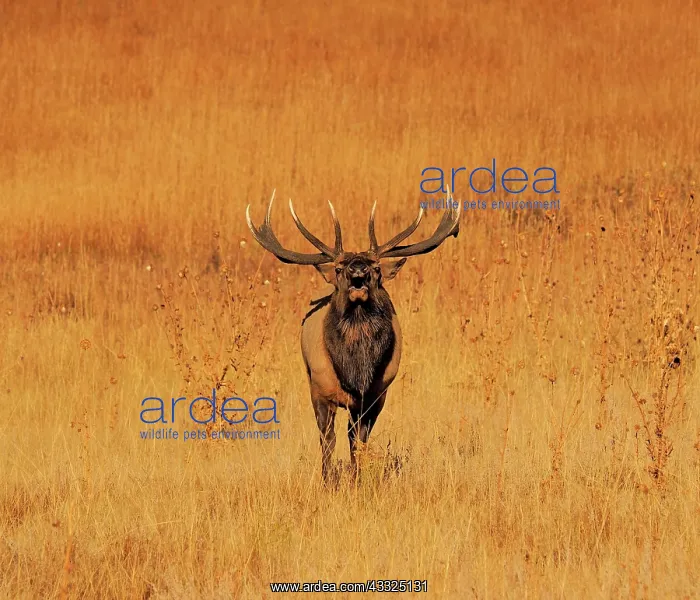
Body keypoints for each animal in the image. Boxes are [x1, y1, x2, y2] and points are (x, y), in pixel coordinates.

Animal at [246, 192, 460, 483]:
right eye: (339, 268)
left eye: (377, 267)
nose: (358, 269)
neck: (357, 372)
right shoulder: (320, 390)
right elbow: (327, 440)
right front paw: (327, 482)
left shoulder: (376, 395)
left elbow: (359, 440)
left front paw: (357, 479)